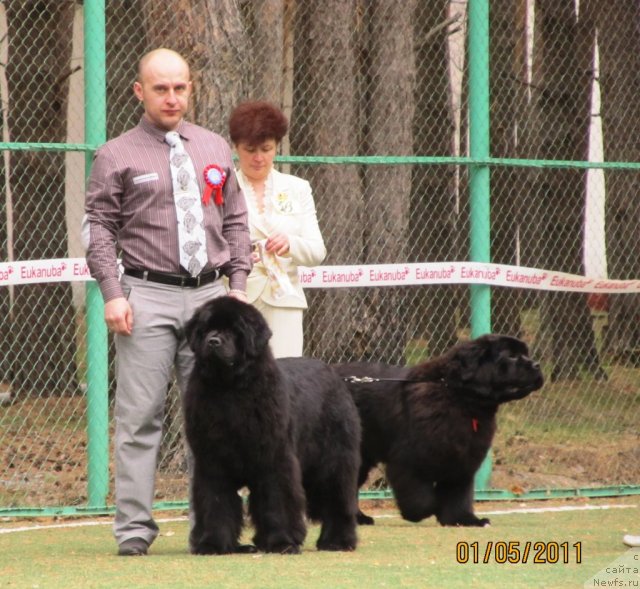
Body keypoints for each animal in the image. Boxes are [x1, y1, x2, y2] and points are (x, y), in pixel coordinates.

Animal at [184, 296, 360, 552]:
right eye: (206, 328)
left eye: (233, 330)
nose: (213, 341)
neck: (229, 390)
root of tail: (334, 374)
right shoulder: (212, 461)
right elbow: (215, 501)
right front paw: (213, 544)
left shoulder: (274, 458)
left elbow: (277, 499)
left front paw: (282, 542)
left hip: (334, 459)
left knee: (337, 497)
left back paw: (337, 541)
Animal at [332, 336, 544, 528]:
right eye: (511, 356)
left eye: (526, 353)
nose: (537, 365)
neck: (459, 397)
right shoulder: (408, 462)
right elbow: (421, 499)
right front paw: (427, 511)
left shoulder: (462, 461)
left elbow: (458, 496)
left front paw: (464, 520)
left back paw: (358, 518)